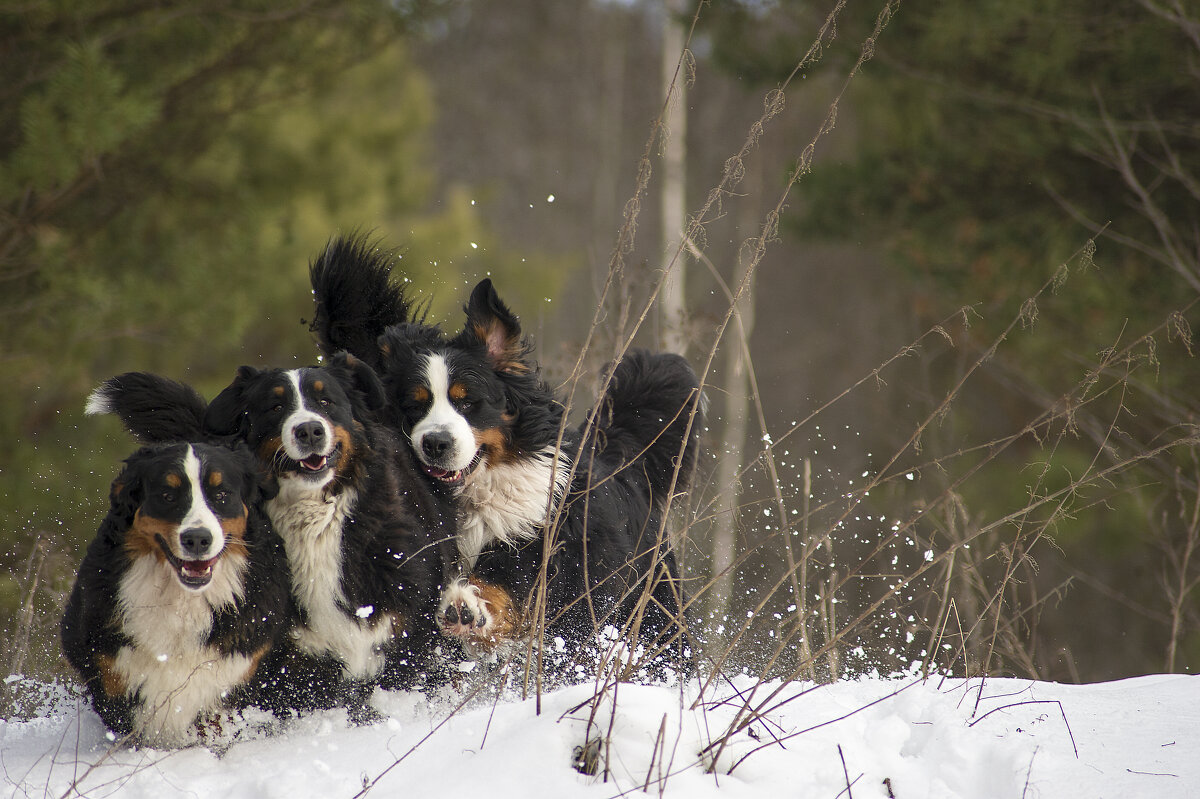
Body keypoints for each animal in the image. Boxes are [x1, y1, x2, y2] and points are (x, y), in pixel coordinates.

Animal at [62, 369, 290, 743]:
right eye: (167, 495)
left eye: (221, 494)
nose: (197, 539)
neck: (182, 600)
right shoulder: (110, 671)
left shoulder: (235, 677)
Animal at [201, 347, 453, 710]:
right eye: (275, 406)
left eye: (326, 401)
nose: (309, 430)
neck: (316, 521)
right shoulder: (295, 664)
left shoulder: (413, 629)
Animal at [307, 235, 700, 667]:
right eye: (415, 405)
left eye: (467, 401)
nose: (435, 443)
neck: (472, 494)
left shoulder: (534, 549)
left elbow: (500, 588)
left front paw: (465, 606)